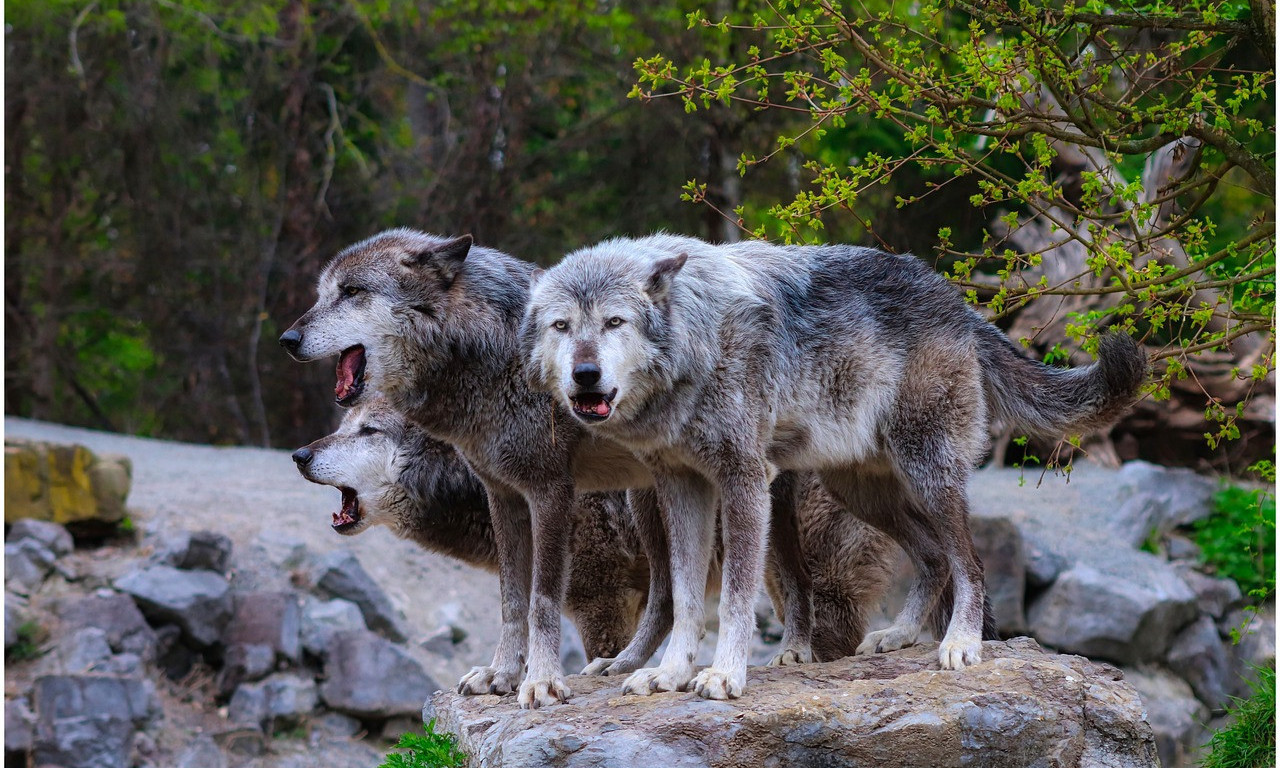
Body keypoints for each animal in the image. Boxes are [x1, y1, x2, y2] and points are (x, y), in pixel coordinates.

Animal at [279, 227, 819, 706]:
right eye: (323, 293)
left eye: (352, 292)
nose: (287, 338)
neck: (490, 356)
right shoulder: (504, 496)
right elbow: (512, 601)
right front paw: (500, 675)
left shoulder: (557, 506)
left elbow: (541, 603)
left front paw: (540, 683)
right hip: (652, 501)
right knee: (669, 597)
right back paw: (625, 666)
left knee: (794, 575)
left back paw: (794, 652)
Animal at [524, 230, 1146, 701]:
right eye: (562, 326)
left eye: (615, 322)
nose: (584, 374)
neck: (698, 336)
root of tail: (959, 302)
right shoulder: (683, 487)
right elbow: (684, 597)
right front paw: (671, 673)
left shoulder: (744, 481)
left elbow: (733, 599)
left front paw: (724, 675)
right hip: (861, 492)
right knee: (933, 558)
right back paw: (898, 635)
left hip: (928, 474)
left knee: (968, 563)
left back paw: (961, 644)